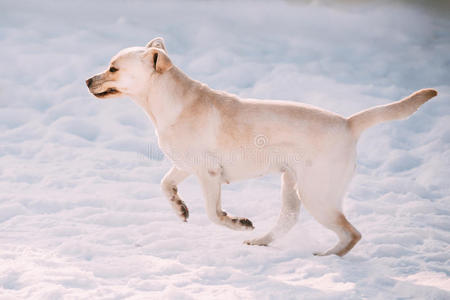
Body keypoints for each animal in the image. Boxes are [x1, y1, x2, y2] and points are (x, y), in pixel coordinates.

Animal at [86, 38, 438, 256]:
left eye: (113, 68)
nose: (87, 81)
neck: (166, 102)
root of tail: (349, 123)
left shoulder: (209, 174)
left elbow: (214, 214)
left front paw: (236, 222)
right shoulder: (186, 165)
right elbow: (164, 184)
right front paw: (180, 207)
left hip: (318, 193)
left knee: (352, 233)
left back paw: (326, 256)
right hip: (293, 186)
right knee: (288, 220)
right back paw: (260, 242)